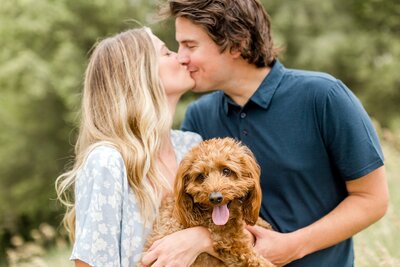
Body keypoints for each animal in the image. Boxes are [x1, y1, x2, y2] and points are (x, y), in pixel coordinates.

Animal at [143, 139, 276, 266]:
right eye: (201, 176)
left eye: (226, 171)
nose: (215, 198)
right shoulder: (232, 243)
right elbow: (259, 261)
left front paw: (265, 225)